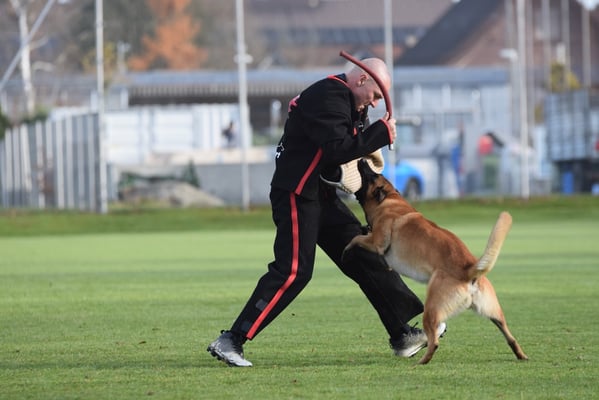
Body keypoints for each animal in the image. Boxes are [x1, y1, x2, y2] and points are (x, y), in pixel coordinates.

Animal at [343, 159, 528, 365]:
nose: (362, 160)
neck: (389, 200)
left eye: (372, 175)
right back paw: (521, 355)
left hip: (431, 308)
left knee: (434, 342)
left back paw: (422, 361)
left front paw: (347, 249)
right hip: (494, 313)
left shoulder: (377, 242)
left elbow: (356, 239)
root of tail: (469, 271)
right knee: (510, 336)